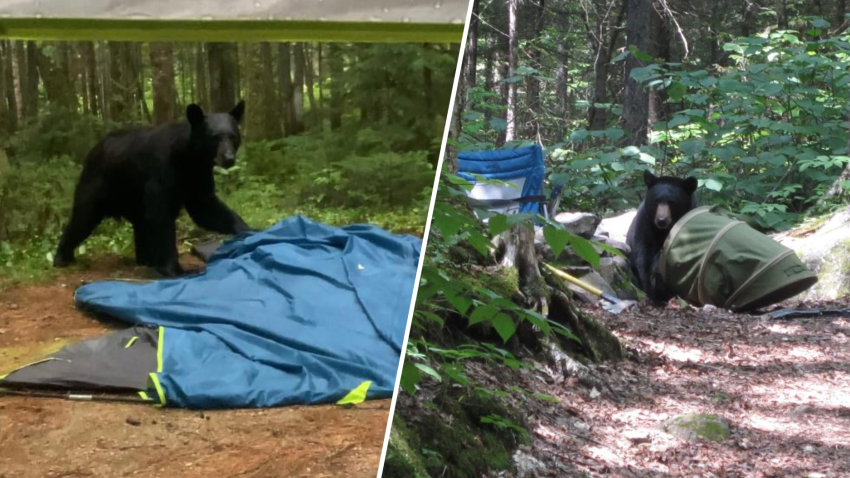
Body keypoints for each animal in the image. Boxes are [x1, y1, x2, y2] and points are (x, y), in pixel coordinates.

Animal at [52, 102, 250, 278]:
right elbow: (161, 217)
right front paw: (174, 269)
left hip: (133, 198)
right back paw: (63, 257)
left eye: (233, 136)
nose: (228, 158)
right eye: (215, 137)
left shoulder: (198, 176)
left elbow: (206, 208)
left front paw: (245, 230)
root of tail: (93, 149)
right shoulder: (161, 171)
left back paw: (146, 260)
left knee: (141, 224)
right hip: (98, 183)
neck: (187, 158)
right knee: (83, 218)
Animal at [624, 170, 696, 300]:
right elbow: (643, 253)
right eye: (656, 200)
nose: (662, 220)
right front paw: (650, 289)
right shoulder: (645, 222)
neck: (663, 230)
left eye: (672, 202)